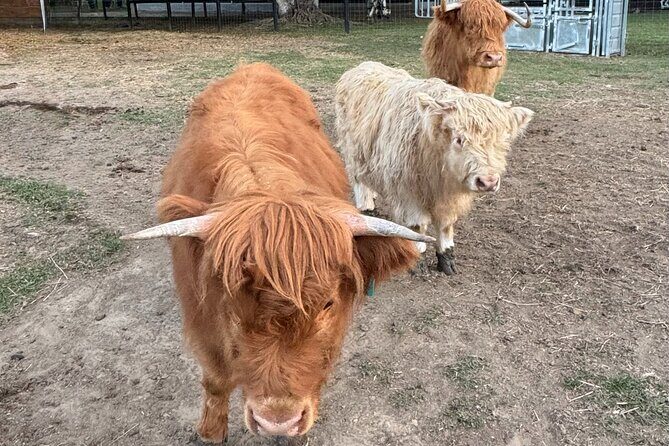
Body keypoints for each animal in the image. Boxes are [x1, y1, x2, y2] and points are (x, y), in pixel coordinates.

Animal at [121, 63, 433, 441]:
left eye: (328, 303)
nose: (277, 421)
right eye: (231, 302)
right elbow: (216, 378)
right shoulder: (202, 317)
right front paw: (211, 430)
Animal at [335, 61, 533, 275]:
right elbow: (417, 226)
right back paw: (366, 207)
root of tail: (364, 65)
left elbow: (446, 225)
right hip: (353, 151)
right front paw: (417, 260)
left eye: (500, 141)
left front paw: (447, 260)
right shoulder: (408, 191)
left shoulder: (449, 198)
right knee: (358, 180)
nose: (487, 182)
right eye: (459, 139)